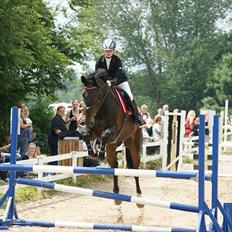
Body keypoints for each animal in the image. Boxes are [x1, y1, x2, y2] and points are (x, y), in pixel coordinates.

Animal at [81, 70, 143, 205]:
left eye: (97, 95)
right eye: (84, 95)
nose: (87, 121)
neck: (102, 108)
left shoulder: (113, 131)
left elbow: (104, 135)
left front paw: (99, 154)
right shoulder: (94, 131)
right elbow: (85, 135)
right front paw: (92, 152)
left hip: (133, 144)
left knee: (135, 167)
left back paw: (139, 196)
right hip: (112, 146)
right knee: (115, 165)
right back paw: (116, 194)